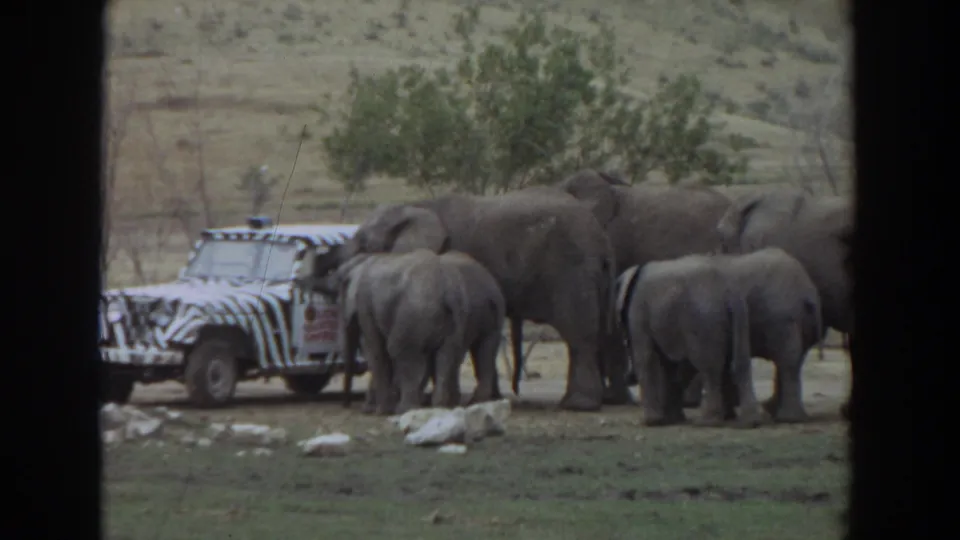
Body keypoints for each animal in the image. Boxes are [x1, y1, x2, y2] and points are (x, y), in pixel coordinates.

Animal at [329, 191, 625, 412]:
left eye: (364, 243)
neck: (414, 206)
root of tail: (602, 241)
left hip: (571, 272)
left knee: (578, 335)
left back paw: (579, 405)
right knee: (596, 333)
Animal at [618, 254, 762, 427]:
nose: (628, 378)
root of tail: (727, 290)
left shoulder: (638, 311)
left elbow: (646, 358)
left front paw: (651, 422)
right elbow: (669, 365)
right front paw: (670, 420)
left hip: (704, 320)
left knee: (709, 368)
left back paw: (708, 422)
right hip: (739, 314)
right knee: (740, 362)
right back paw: (750, 422)